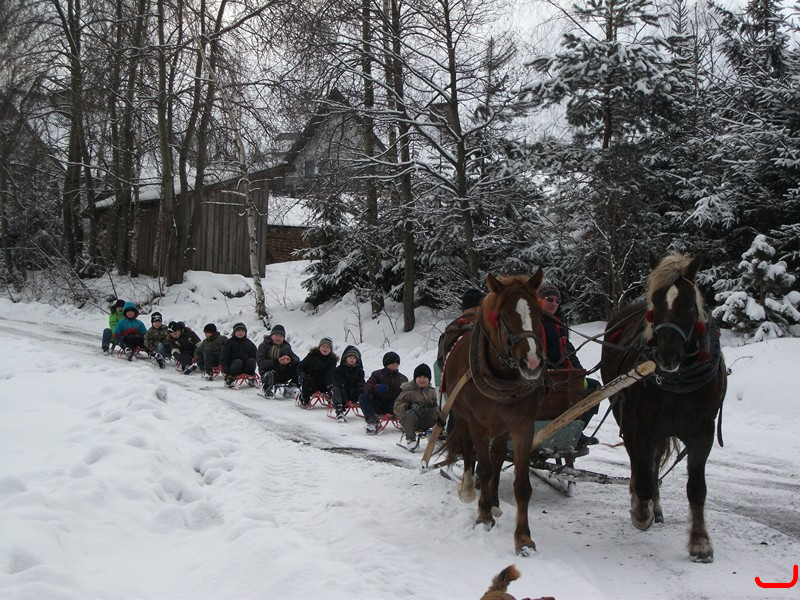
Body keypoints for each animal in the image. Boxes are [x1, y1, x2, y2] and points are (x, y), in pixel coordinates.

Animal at [440, 271, 545, 555]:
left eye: (539, 313)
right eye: (505, 317)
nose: (532, 363)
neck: (502, 374)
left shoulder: (522, 426)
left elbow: (521, 484)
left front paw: (524, 539)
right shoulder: (478, 424)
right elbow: (483, 468)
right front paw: (483, 516)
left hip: (500, 428)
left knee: (498, 455)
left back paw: (495, 501)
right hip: (463, 418)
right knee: (469, 452)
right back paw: (470, 491)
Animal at [601, 253, 727, 562]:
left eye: (689, 303)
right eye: (654, 302)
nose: (666, 355)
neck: (678, 380)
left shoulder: (702, 433)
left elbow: (696, 488)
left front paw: (700, 542)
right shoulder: (639, 427)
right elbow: (643, 476)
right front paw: (640, 512)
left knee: (655, 461)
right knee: (642, 466)